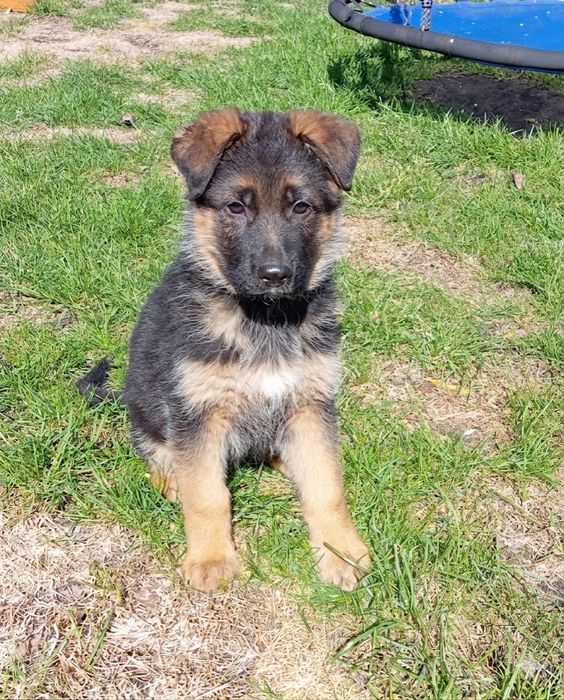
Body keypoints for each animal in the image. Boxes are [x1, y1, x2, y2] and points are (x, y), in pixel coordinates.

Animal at [79, 109, 370, 593]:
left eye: (302, 207)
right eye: (236, 207)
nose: (275, 275)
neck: (263, 319)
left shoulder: (311, 403)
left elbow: (327, 486)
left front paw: (340, 552)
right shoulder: (196, 411)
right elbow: (208, 495)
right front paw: (211, 558)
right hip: (147, 412)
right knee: (158, 458)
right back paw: (173, 480)